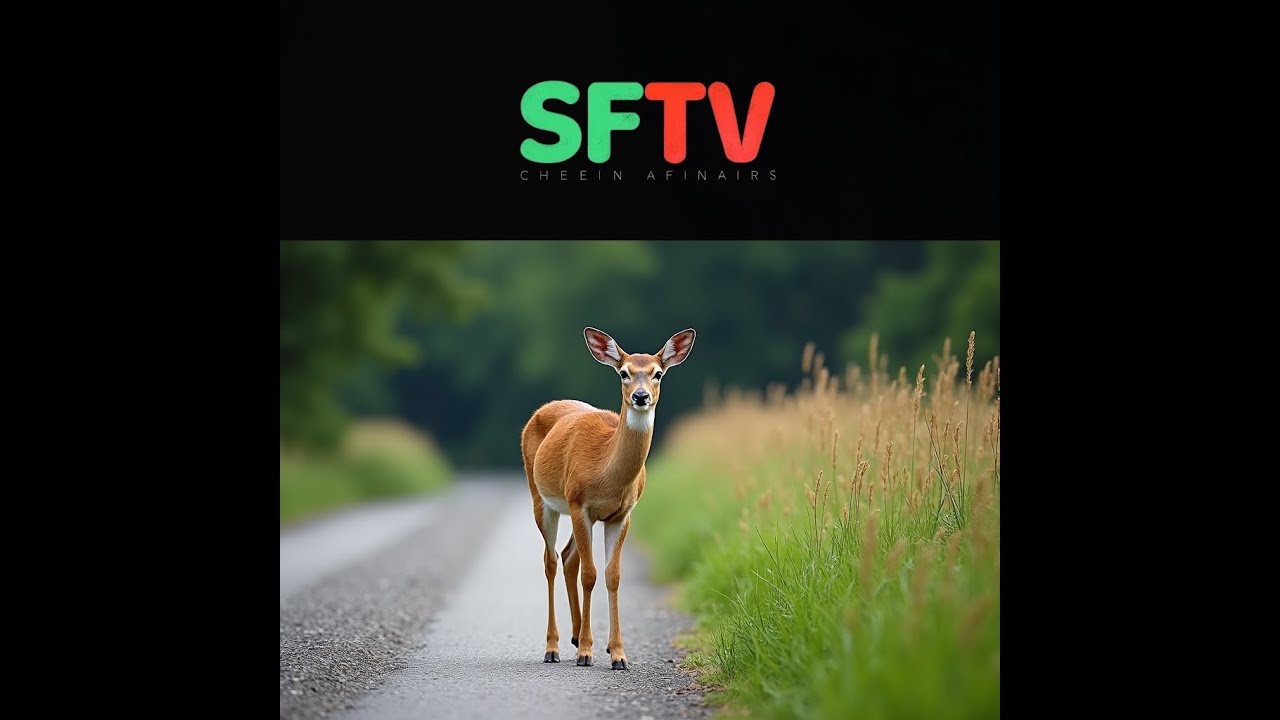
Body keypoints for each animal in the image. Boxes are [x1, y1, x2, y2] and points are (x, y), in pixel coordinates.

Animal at [520, 327, 696, 670]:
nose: (640, 397)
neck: (606, 472)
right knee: (551, 560)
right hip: (542, 498)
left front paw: (618, 654)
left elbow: (612, 576)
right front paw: (587, 653)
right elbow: (590, 574)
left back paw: (575, 637)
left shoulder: (621, 514)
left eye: (658, 373)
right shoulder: (580, 505)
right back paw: (554, 647)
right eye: (624, 373)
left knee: (567, 556)